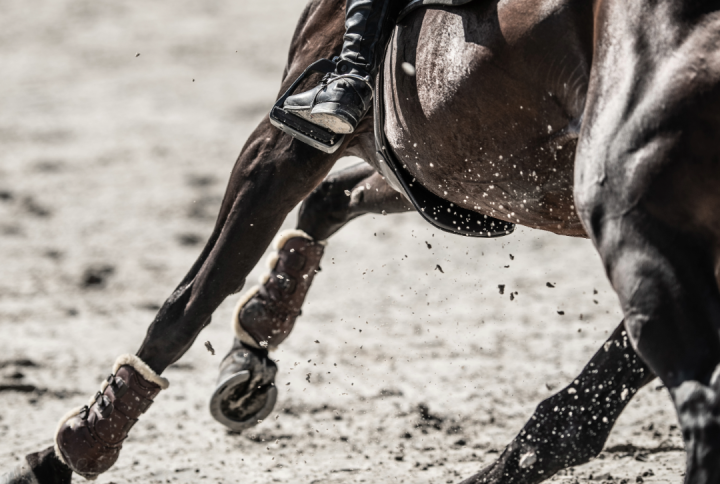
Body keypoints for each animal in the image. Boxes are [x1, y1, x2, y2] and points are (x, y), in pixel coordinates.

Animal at [4, 0, 720, 482]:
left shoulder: (289, 140)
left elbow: (192, 299)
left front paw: (76, 446)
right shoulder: (448, 168)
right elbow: (330, 202)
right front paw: (253, 345)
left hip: (623, 203)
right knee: (597, 407)